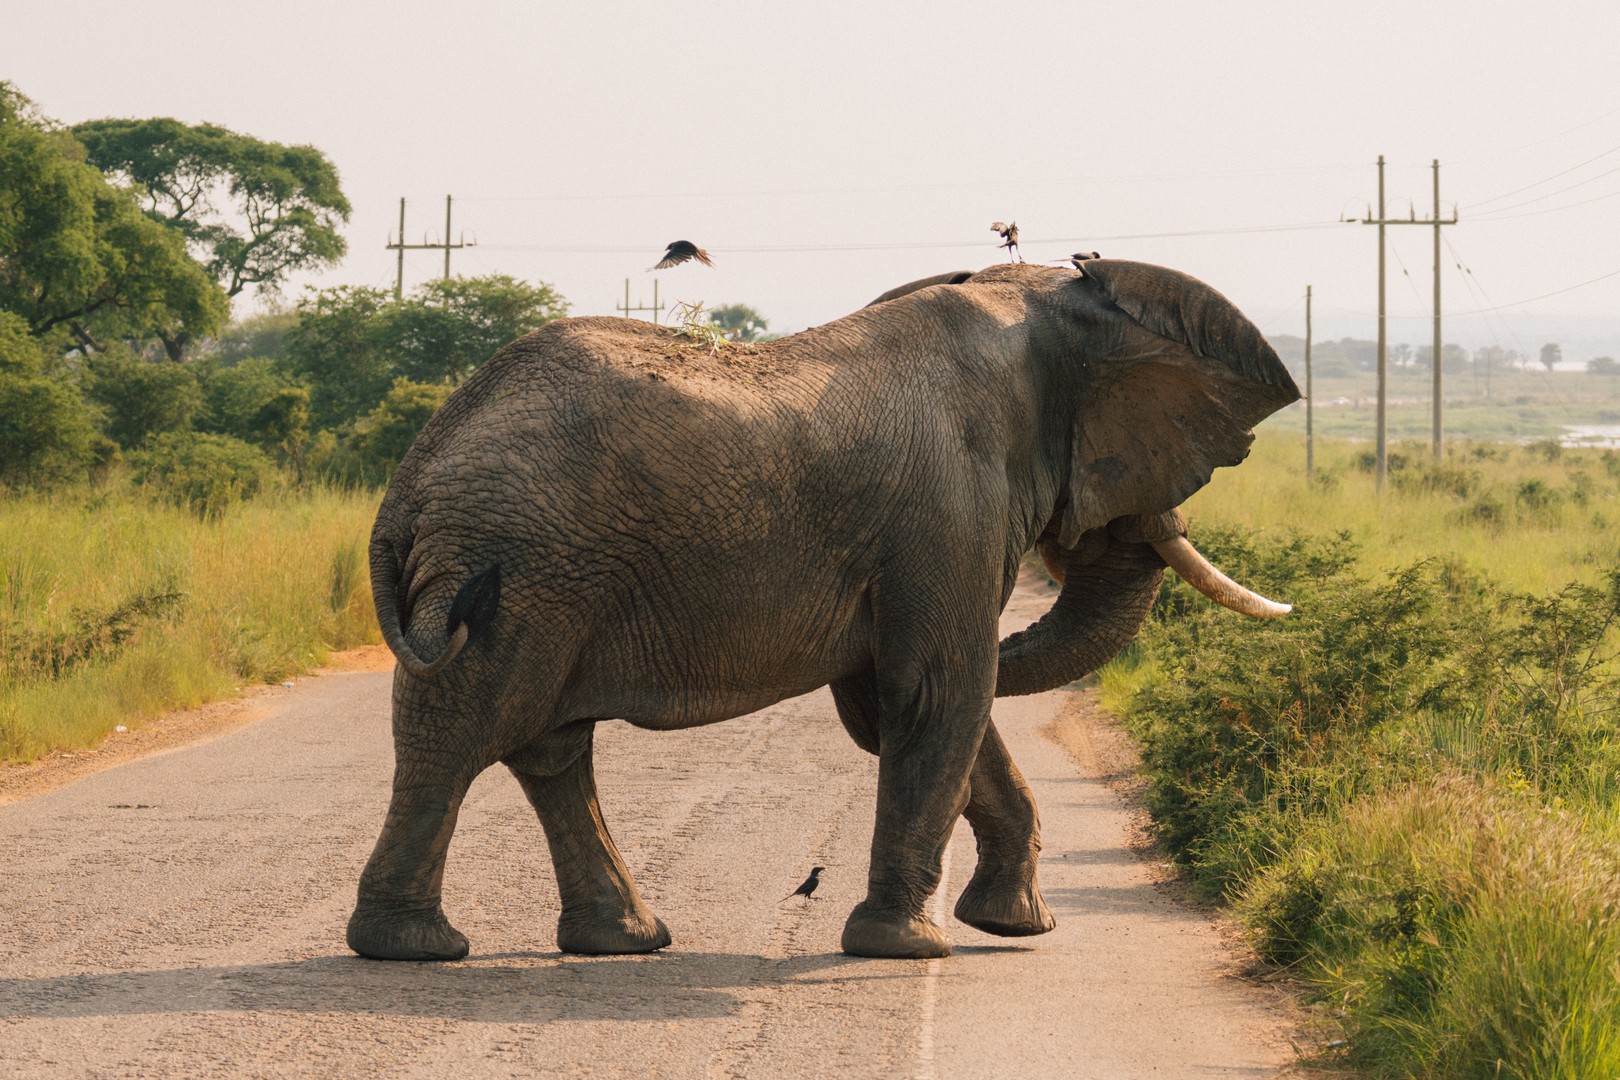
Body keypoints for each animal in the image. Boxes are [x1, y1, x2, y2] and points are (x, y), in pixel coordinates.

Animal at [346, 259, 1300, 963]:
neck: (1029, 296)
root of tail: (416, 465)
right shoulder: (951, 507)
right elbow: (938, 690)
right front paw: (908, 950)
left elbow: (899, 699)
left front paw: (1012, 926)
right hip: (515, 568)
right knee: (464, 730)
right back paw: (416, 950)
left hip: (547, 573)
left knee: (547, 748)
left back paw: (622, 942)